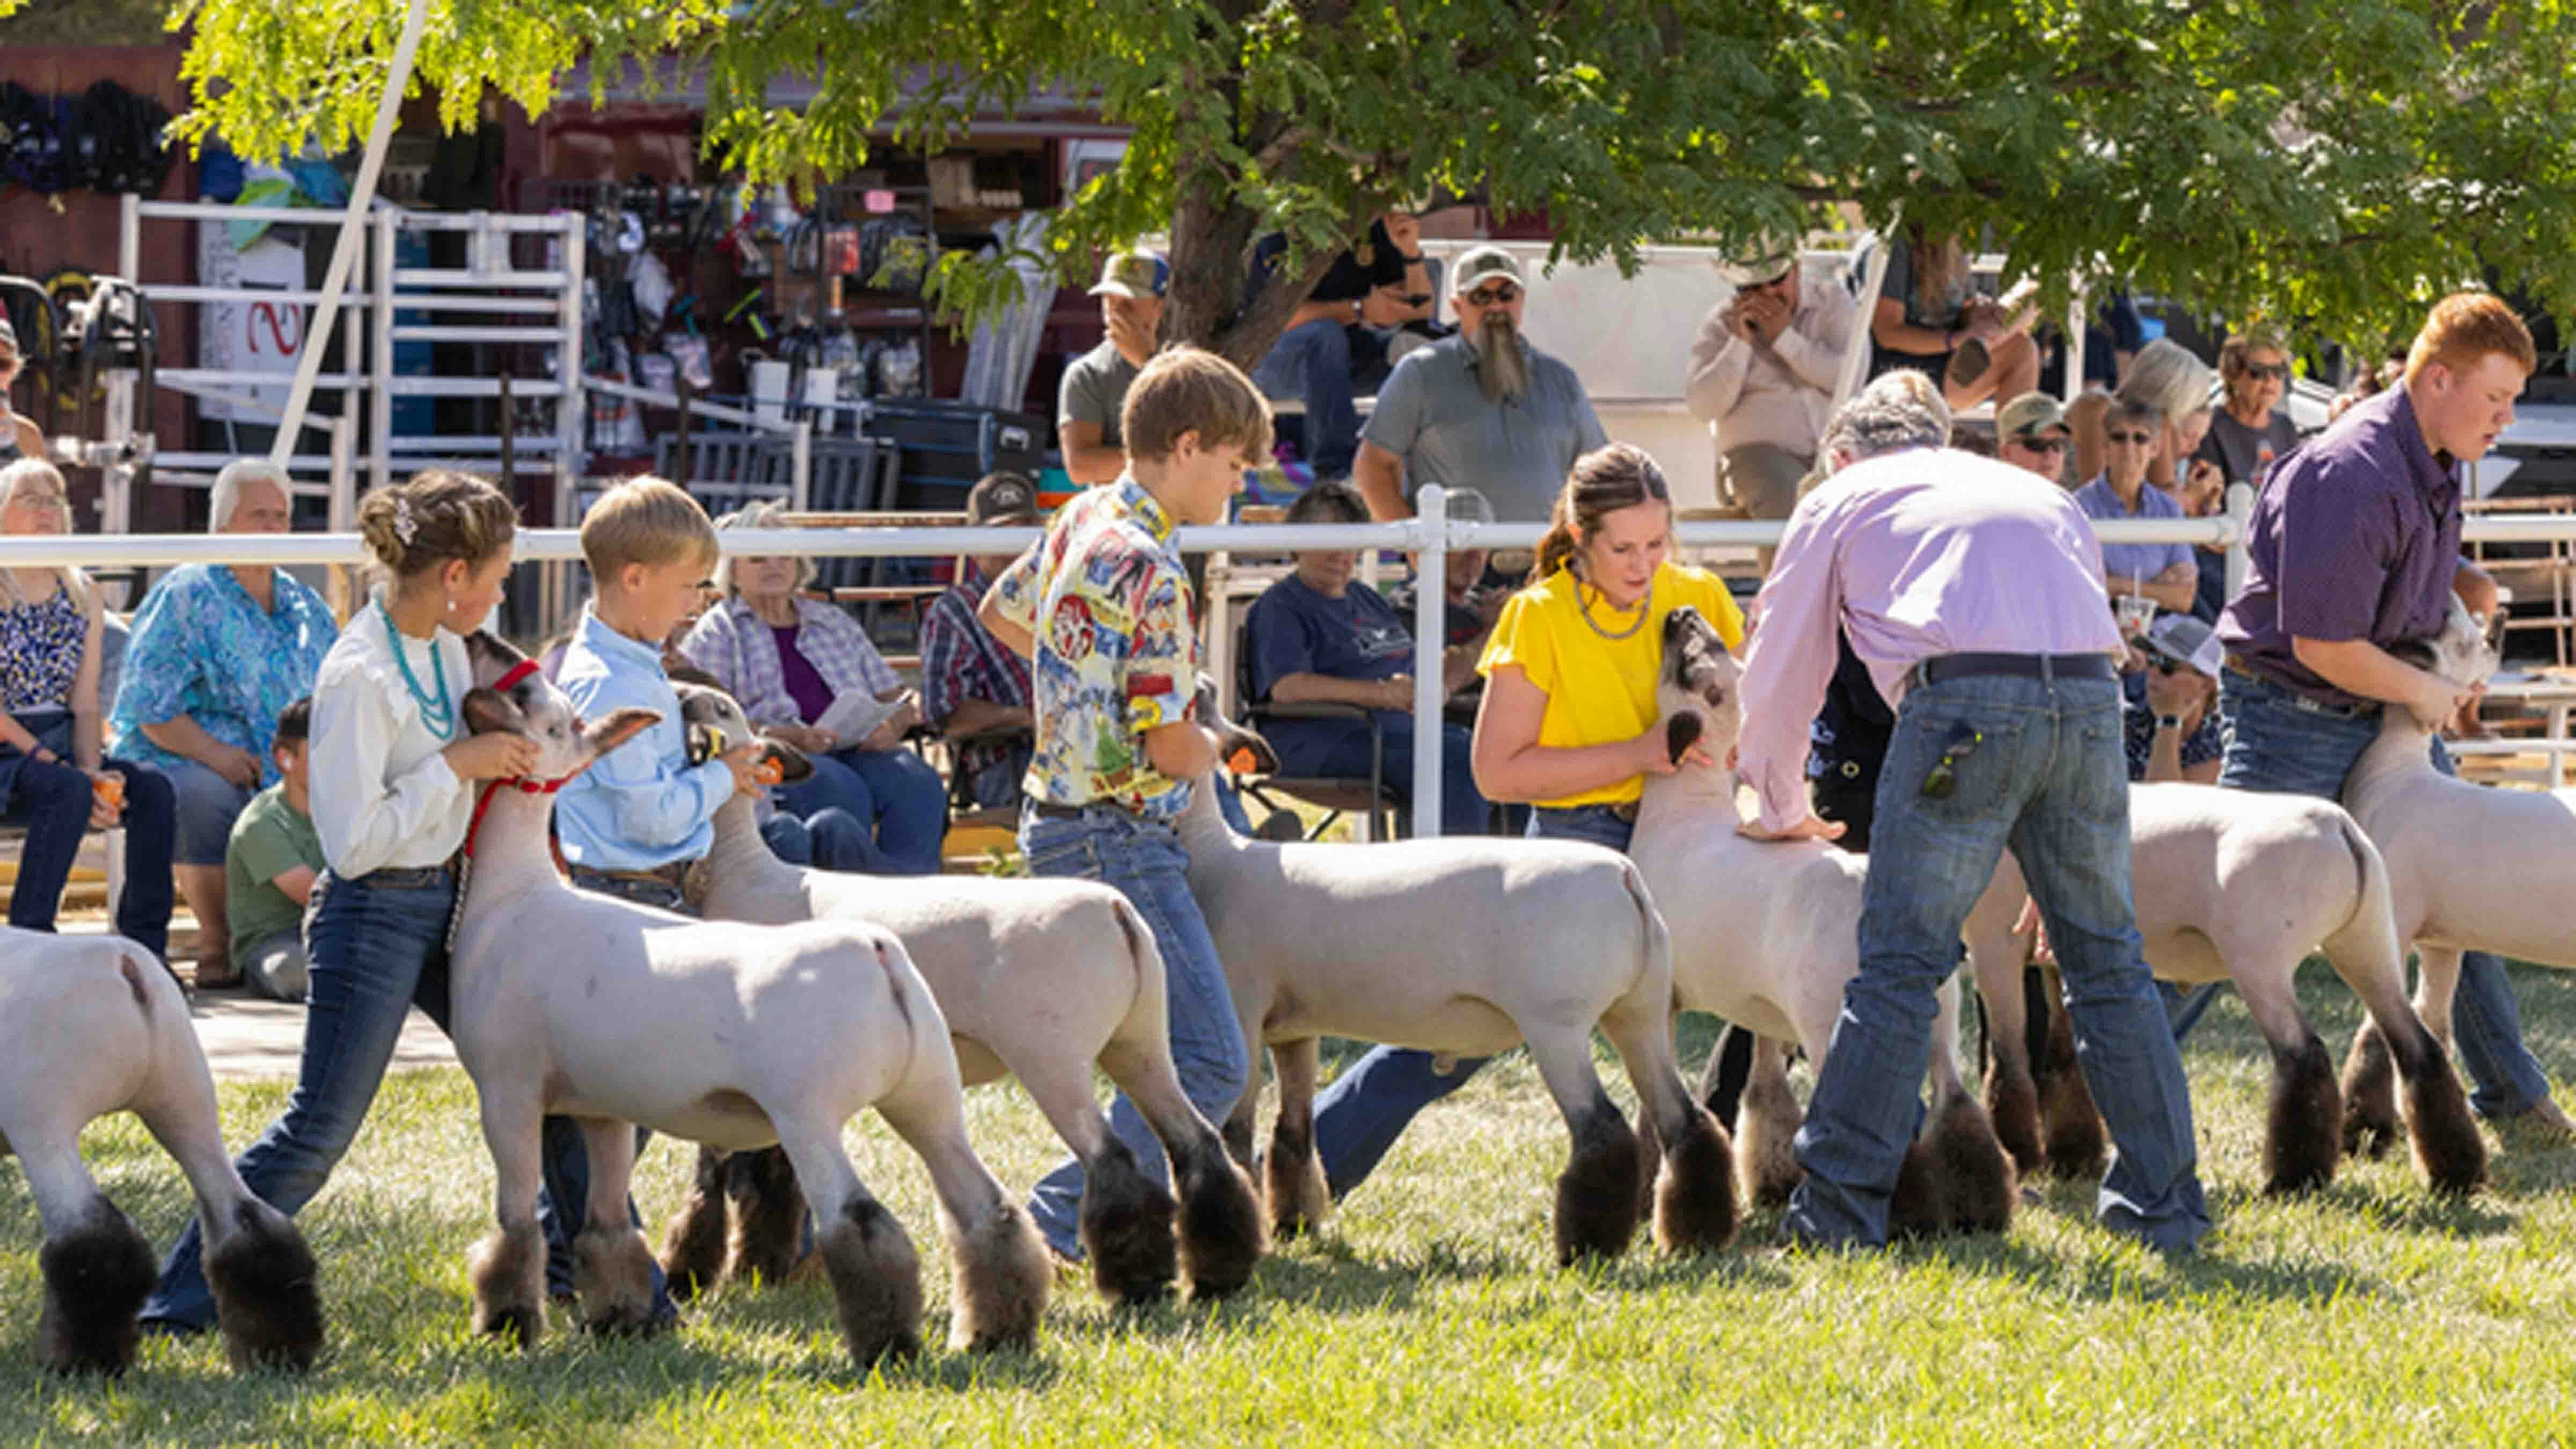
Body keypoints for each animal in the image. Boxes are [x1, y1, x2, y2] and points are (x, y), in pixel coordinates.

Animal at [0, 923, 319, 1361]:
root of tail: (126, 965)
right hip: (184, 1093)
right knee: (248, 1220)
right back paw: (277, 1352)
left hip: (42, 1112)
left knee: (92, 1237)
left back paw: (82, 1362)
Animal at [448, 632, 1041, 1361]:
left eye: (548, 715)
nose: (482, 642)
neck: (514, 894)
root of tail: (881, 956)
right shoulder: (603, 1108)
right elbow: (608, 1226)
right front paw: (620, 1319)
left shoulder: (507, 1089)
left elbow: (513, 1224)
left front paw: (506, 1325)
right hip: (929, 1096)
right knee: (986, 1208)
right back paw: (997, 1331)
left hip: (808, 1113)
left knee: (859, 1219)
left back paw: (887, 1346)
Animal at [670, 680, 1262, 1304]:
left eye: (722, 708)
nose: (680, 695)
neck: (742, 869)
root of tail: (1117, 909)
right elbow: (774, 1176)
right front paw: (762, 1265)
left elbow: (719, 1174)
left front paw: (699, 1270)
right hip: (1140, 1040)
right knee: (1194, 1141)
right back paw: (1215, 1272)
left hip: (1053, 1054)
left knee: (1112, 1156)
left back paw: (1135, 1282)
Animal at [1180, 696, 1741, 1258]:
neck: (1215, 856)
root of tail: (1626, 879)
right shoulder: (1295, 1029)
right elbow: (1293, 1130)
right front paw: (1294, 1225)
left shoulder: (1244, 1012)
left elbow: (1236, 1132)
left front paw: (1266, 1236)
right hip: (1640, 1012)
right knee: (1685, 1120)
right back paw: (1698, 1236)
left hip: (1557, 1025)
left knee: (1603, 1130)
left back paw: (1586, 1249)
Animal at [1638, 606, 2019, 1227]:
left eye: (1697, 667)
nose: (1680, 614)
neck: (1685, 813)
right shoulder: (1763, 1013)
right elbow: (1765, 1098)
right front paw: (1770, 1184)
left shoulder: (1665, 999)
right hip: (1941, 1019)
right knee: (1958, 1108)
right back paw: (1980, 1213)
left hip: (1829, 1023)